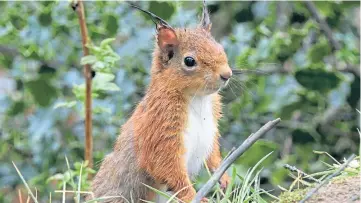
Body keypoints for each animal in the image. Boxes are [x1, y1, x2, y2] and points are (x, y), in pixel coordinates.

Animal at [90, 1, 231, 203]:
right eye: (189, 61)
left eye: (220, 47)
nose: (227, 74)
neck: (198, 99)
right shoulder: (160, 125)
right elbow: (167, 167)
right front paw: (196, 197)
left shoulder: (211, 128)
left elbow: (213, 156)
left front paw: (223, 177)